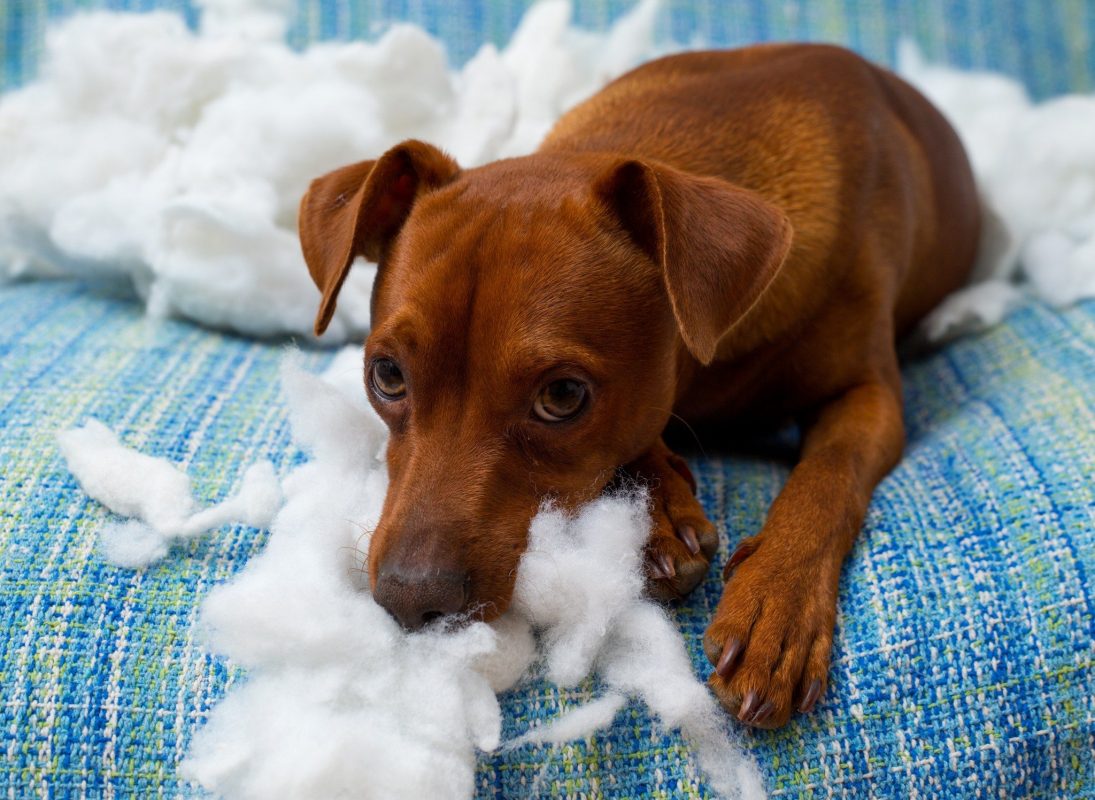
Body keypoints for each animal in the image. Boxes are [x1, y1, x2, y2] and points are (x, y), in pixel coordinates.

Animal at [295, 45, 981, 731]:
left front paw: (776, 604)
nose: (410, 599)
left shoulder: (870, 398)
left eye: (563, 397)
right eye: (387, 376)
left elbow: (827, 477)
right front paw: (658, 516)